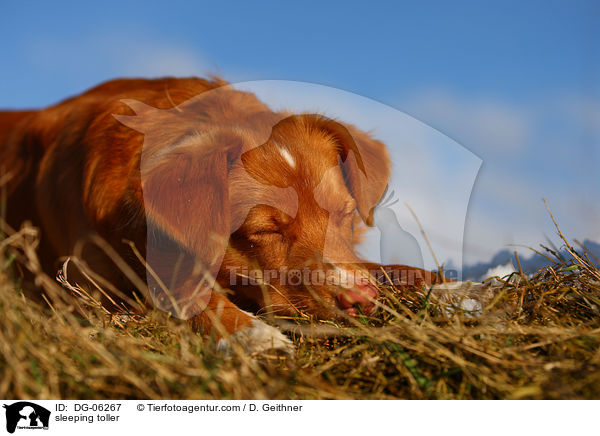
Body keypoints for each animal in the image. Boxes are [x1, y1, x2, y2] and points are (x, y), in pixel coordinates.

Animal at [1, 79, 440, 354]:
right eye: (264, 231)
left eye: (346, 214)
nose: (361, 301)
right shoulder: (91, 294)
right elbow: (191, 296)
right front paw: (250, 335)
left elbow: (378, 267)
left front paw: (436, 285)